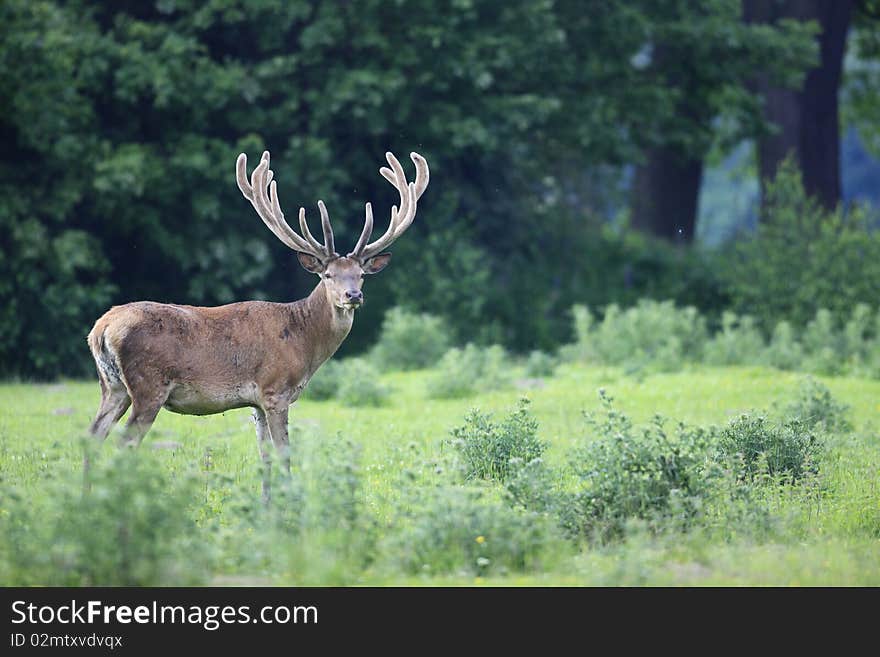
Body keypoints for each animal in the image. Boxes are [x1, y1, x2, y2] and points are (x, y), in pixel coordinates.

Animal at [86, 149, 430, 498]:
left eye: (361, 274)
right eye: (328, 275)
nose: (353, 295)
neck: (304, 342)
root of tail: (101, 330)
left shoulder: (256, 404)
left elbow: (264, 458)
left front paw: (265, 504)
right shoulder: (276, 390)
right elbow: (283, 454)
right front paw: (289, 502)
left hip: (113, 386)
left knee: (94, 435)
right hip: (149, 385)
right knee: (124, 443)